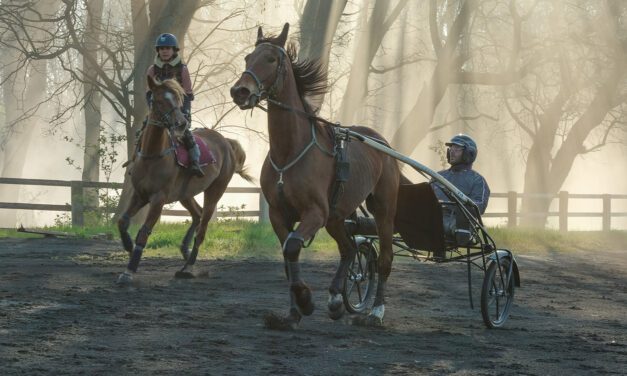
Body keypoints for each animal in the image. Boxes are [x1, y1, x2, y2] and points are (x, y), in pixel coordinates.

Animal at [116, 75, 254, 284]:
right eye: (159, 101)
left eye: (178, 100)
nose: (181, 123)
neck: (152, 155)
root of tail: (226, 142)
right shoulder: (139, 194)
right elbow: (122, 221)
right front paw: (129, 246)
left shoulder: (158, 199)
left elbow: (144, 232)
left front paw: (129, 269)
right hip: (185, 194)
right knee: (197, 214)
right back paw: (185, 251)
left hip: (216, 190)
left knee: (202, 228)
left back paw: (188, 266)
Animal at [231, 24, 402, 328]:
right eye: (248, 58)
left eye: (271, 59)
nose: (240, 91)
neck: (289, 152)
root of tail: (381, 142)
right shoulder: (279, 214)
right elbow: (288, 256)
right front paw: (292, 313)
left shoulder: (314, 212)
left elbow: (292, 247)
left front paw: (306, 300)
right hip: (336, 215)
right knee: (348, 248)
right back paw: (336, 299)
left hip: (382, 208)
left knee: (384, 257)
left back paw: (376, 312)